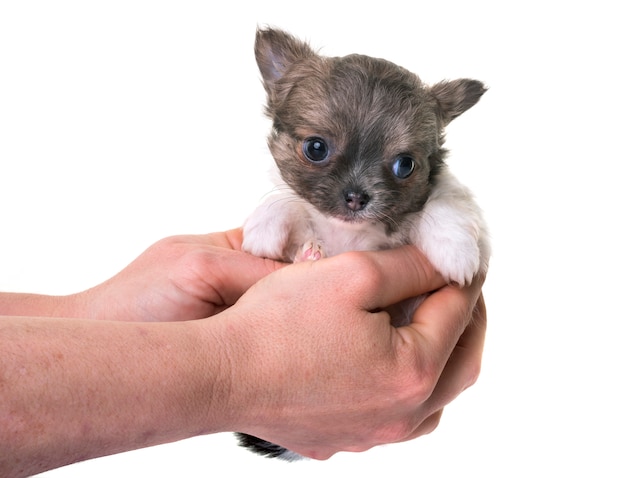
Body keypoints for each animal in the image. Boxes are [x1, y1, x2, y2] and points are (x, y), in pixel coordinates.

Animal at [238, 27, 488, 460]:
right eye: (316, 148)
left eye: (405, 165)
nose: (357, 196)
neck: (349, 233)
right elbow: (287, 202)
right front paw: (265, 227)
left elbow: (444, 202)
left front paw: (455, 250)